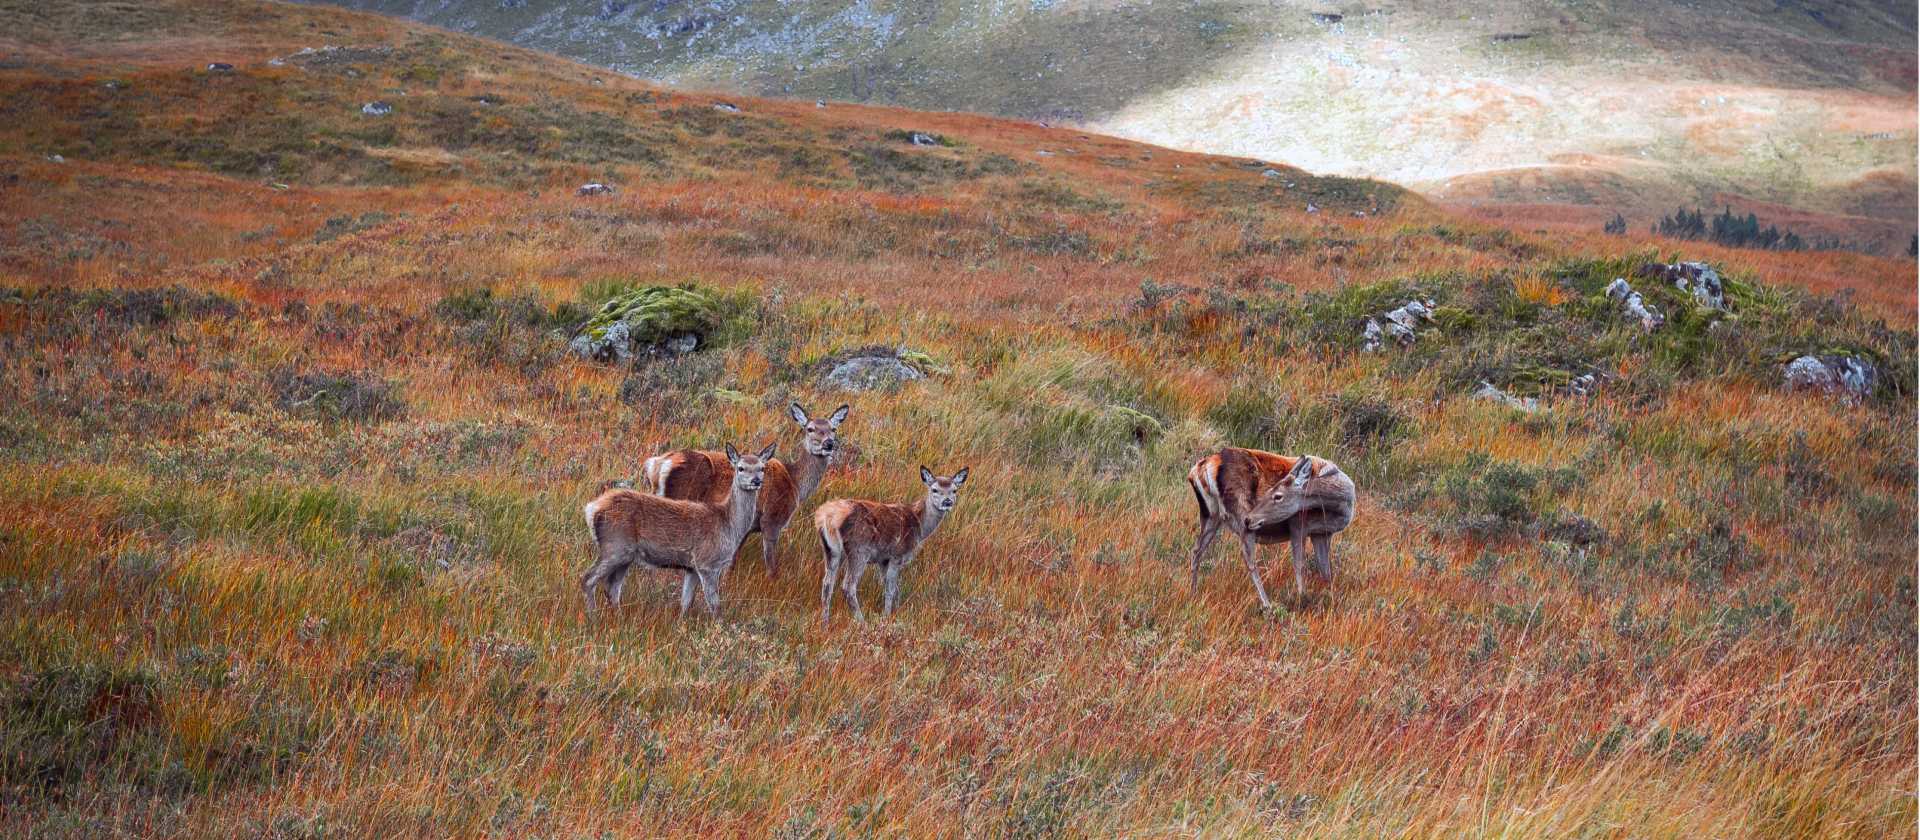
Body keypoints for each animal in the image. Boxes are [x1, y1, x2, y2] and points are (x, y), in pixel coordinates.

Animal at [581, 442, 774, 619]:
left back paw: (618, 619)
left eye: (762, 468)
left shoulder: (692, 568)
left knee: (612, 588)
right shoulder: (707, 563)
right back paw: (593, 618)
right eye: (740, 468)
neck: (728, 525)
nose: (756, 481)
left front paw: (681, 625)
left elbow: (685, 603)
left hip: (625, 555)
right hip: (614, 545)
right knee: (588, 579)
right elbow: (715, 607)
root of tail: (592, 509)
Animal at [641, 403, 849, 577]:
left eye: (833, 428)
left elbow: (733, 559)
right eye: (810, 428)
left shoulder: (747, 527)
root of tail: (658, 464)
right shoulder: (772, 519)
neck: (795, 483)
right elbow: (771, 565)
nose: (828, 443)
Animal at [814, 465, 968, 623]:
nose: (947, 502)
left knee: (827, 584)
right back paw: (862, 622)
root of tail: (828, 516)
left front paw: (896, 611)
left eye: (954, 490)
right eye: (934, 489)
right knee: (848, 586)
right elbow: (891, 589)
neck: (920, 527)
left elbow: (891, 588)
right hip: (859, 549)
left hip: (831, 550)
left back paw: (825, 622)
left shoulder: (883, 560)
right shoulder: (897, 555)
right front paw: (887, 616)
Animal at [1187, 447, 1355, 608]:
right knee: (1249, 559)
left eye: (1277, 496)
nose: (1249, 519)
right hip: (1240, 514)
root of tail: (1199, 470)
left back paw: (1193, 593)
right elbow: (1300, 565)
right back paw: (1267, 604)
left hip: (1210, 516)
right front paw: (1302, 598)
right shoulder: (1298, 524)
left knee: (1196, 550)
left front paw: (1330, 597)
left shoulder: (1323, 533)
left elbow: (1326, 570)